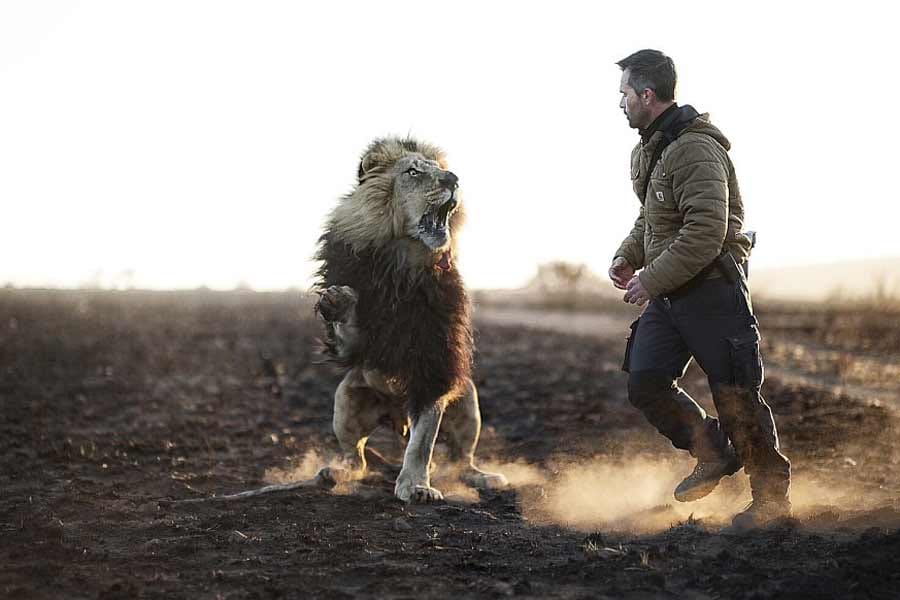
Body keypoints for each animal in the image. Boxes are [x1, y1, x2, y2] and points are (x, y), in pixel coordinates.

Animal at [312, 136, 507, 503]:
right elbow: (350, 337)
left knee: (461, 458)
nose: (453, 179)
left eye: (443, 170)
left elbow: (422, 444)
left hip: (467, 400)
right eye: (413, 172)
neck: (401, 265)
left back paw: (484, 477)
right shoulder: (360, 345)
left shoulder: (435, 364)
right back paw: (334, 472)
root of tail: (396, 417)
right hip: (345, 399)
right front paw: (339, 302)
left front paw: (417, 485)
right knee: (356, 457)